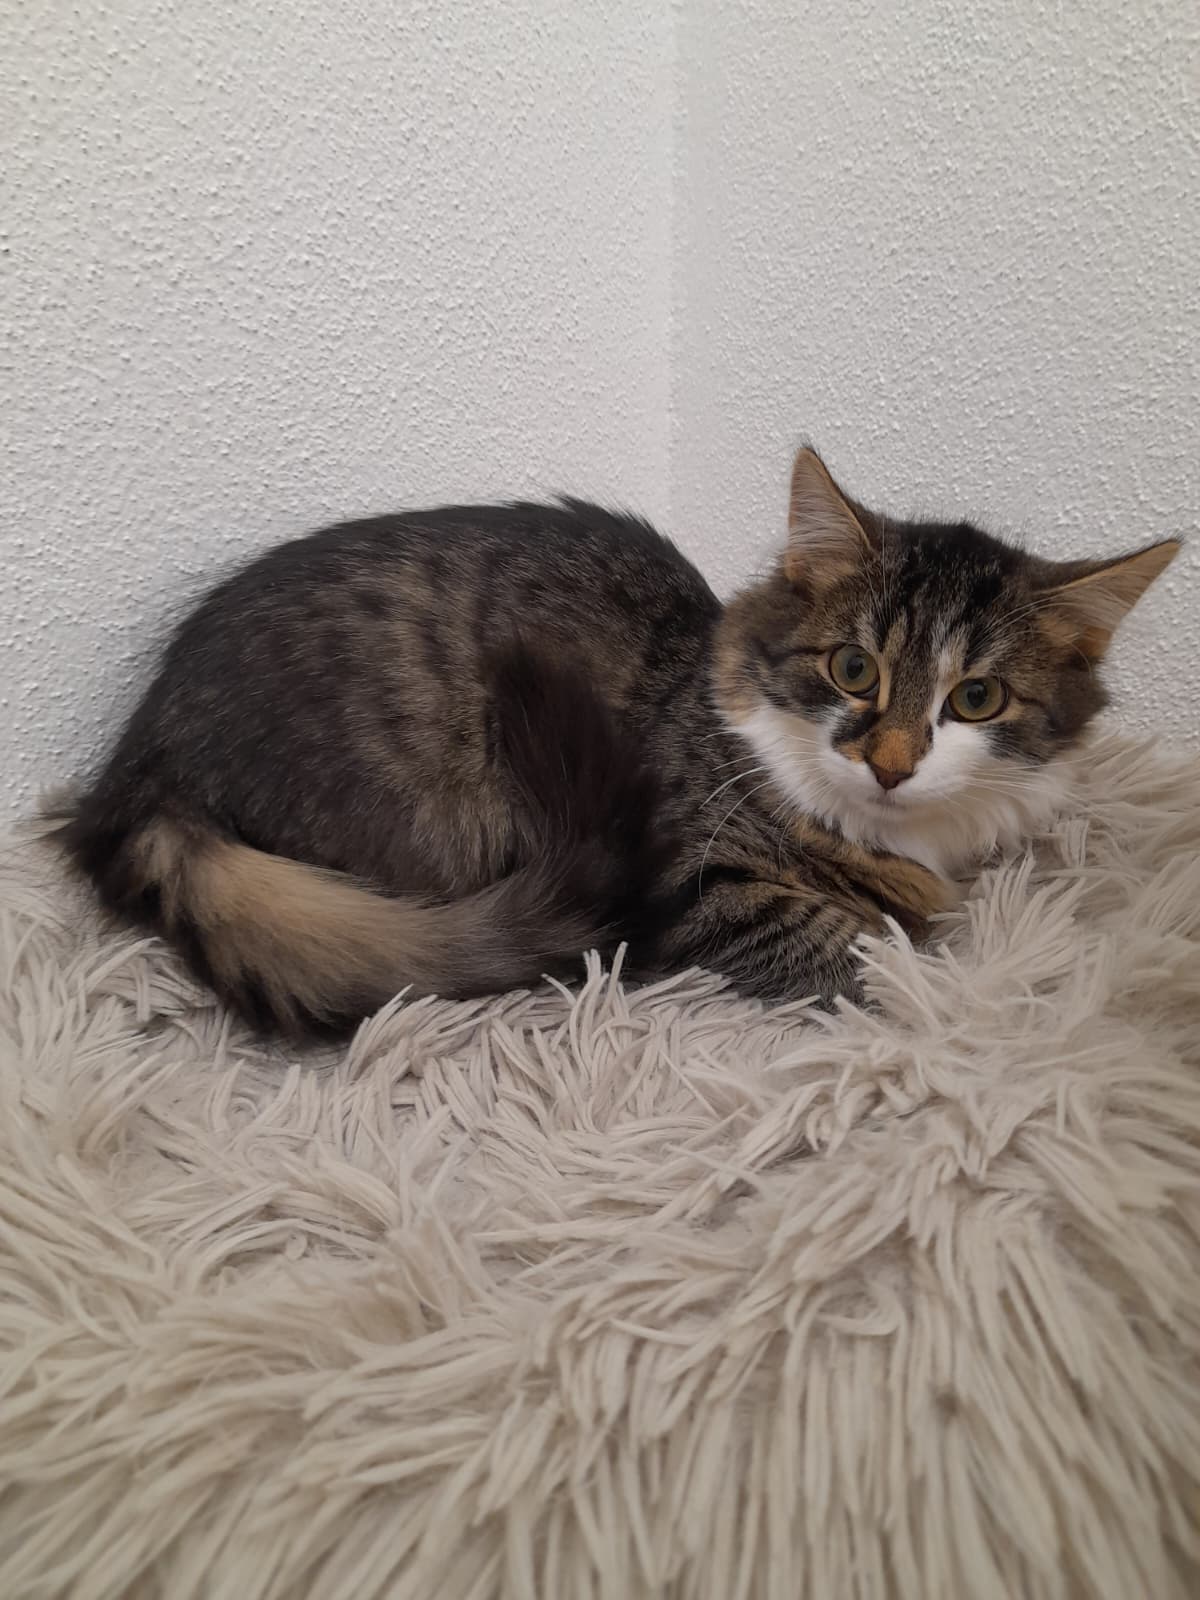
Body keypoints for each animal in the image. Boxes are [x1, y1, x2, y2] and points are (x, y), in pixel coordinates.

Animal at [52, 448, 1178, 1037]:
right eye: (854, 671)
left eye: (974, 698)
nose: (892, 762)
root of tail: (140, 769)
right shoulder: (689, 870)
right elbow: (846, 941)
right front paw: (938, 997)